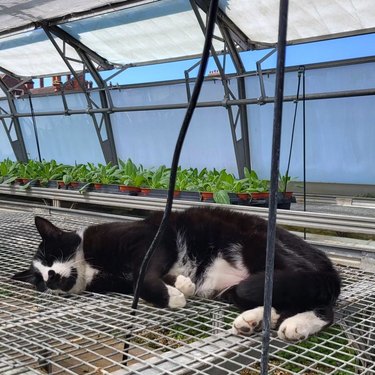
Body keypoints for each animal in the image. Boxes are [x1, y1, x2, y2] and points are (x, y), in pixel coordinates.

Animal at [12, 207, 340, 342]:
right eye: (39, 282)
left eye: (51, 257)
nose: (51, 278)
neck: (89, 268)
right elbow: (146, 280)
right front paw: (181, 286)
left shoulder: (154, 238)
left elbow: (143, 276)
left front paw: (174, 297)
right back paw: (254, 320)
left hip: (261, 246)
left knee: (323, 298)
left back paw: (299, 324)